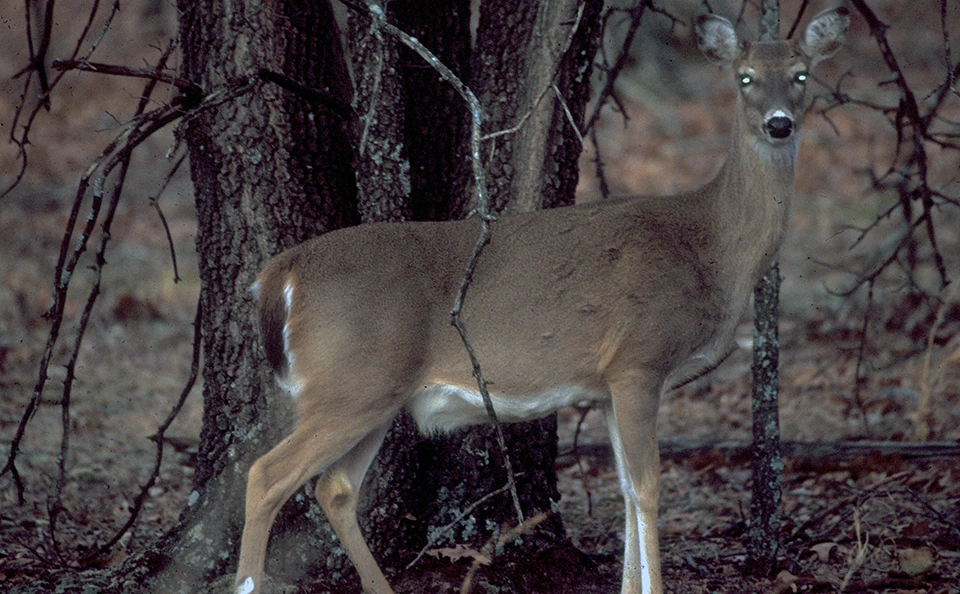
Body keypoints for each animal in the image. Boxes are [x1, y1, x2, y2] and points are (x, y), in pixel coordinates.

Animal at [233, 6, 849, 594]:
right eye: (745, 78)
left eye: (801, 75)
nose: (778, 124)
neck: (711, 247)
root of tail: (282, 272)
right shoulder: (639, 360)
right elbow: (647, 488)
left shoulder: (607, 385)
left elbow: (625, 489)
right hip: (349, 383)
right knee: (266, 476)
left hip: (372, 393)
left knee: (333, 488)